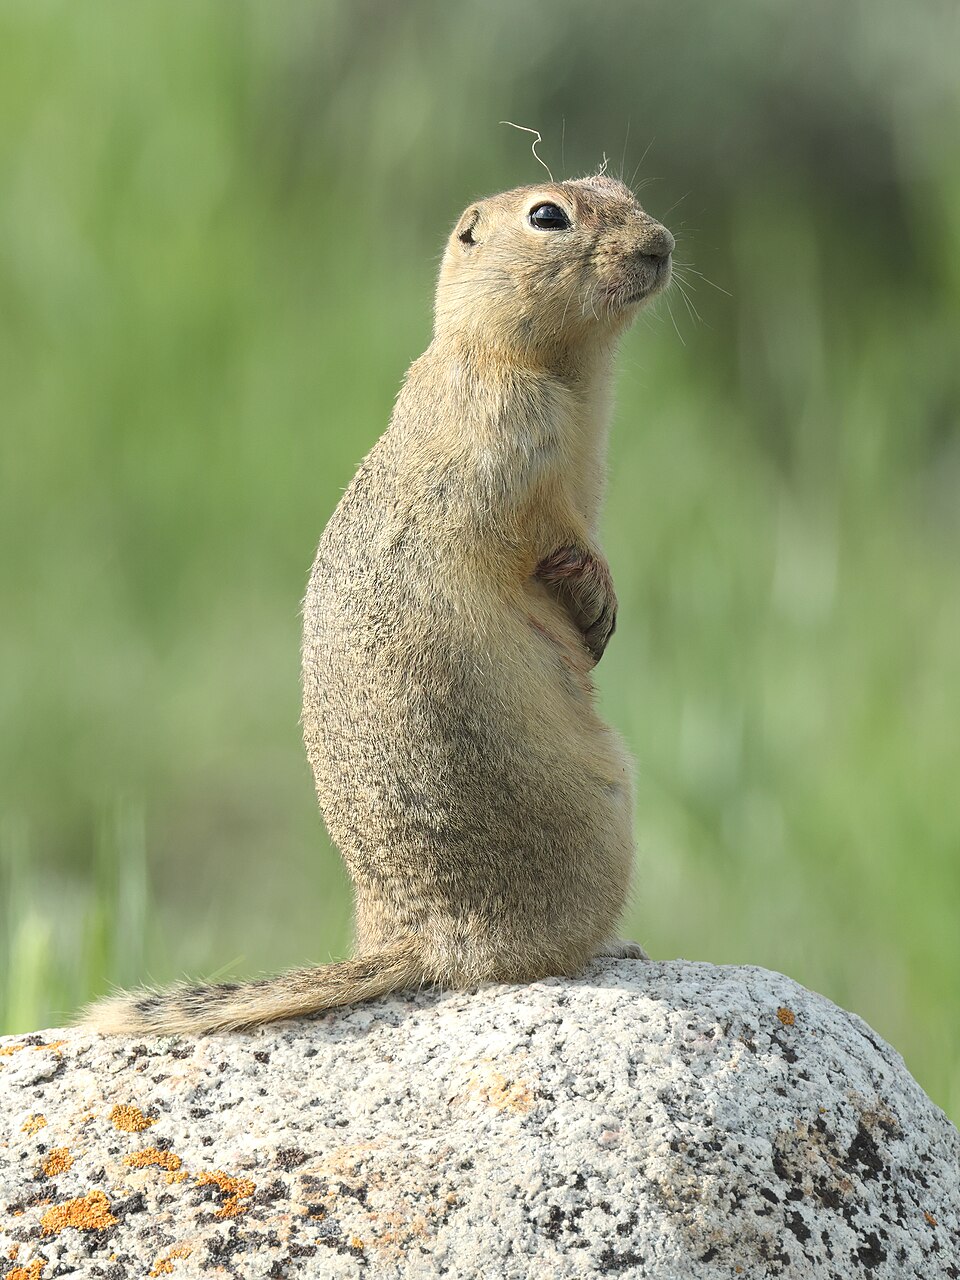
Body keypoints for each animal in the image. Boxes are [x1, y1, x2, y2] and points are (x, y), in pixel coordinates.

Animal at [84, 175, 674, 1034]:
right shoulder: (511, 440)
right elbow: (543, 530)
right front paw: (596, 595)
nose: (660, 244)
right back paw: (615, 946)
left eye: (620, 188)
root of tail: (421, 941)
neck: (568, 374)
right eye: (547, 215)